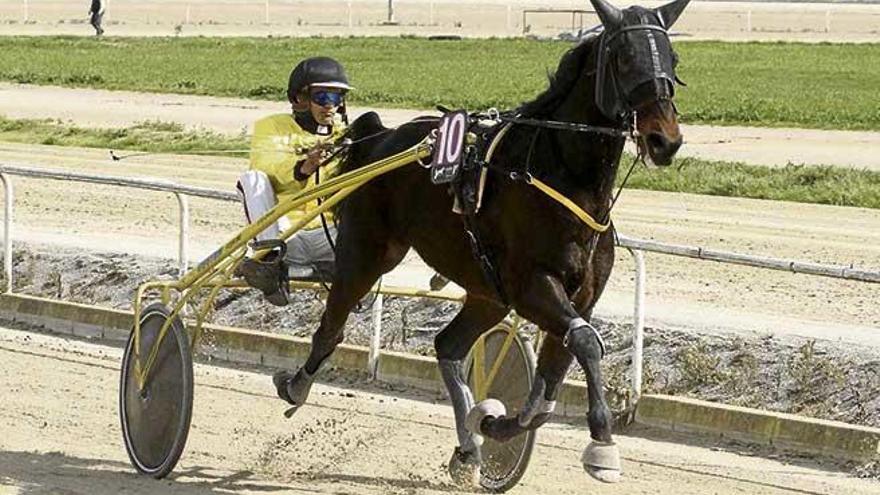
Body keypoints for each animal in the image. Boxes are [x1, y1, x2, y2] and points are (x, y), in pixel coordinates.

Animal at [274, 0, 688, 488]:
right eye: (624, 58)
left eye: (673, 59)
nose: (665, 140)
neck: (562, 177)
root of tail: (379, 137)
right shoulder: (531, 286)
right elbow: (586, 344)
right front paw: (602, 445)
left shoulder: (579, 295)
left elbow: (549, 385)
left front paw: (492, 422)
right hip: (368, 252)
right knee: (332, 325)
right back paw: (295, 385)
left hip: (487, 292)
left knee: (448, 346)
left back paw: (468, 446)